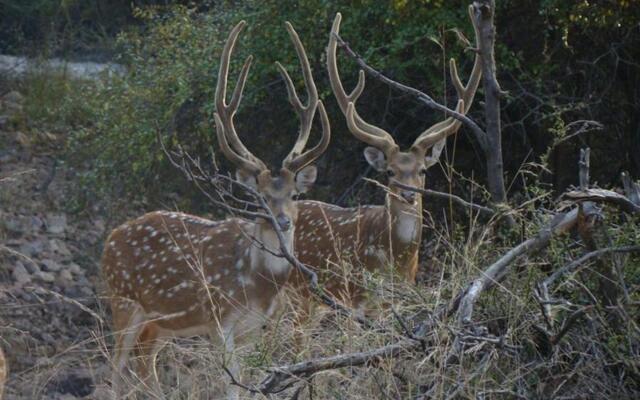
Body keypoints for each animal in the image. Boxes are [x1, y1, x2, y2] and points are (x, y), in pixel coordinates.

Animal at [102, 19, 330, 400]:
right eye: (260, 198)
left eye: (294, 195)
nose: (283, 221)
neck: (256, 280)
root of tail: (109, 239)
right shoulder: (219, 318)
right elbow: (231, 385)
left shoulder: (255, 327)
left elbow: (251, 380)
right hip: (123, 301)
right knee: (115, 369)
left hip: (160, 323)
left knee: (144, 362)